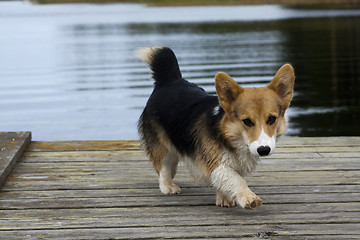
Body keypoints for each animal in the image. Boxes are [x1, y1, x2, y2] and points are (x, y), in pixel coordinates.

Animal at [136, 46, 294, 209]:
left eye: (271, 119)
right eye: (247, 121)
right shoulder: (217, 163)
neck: (229, 135)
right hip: (162, 146)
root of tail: (170, 81)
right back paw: (168, 186)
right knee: (163, 166)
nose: (263, 150)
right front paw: (248, 197)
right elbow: (236, 180)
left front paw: (224, 199)